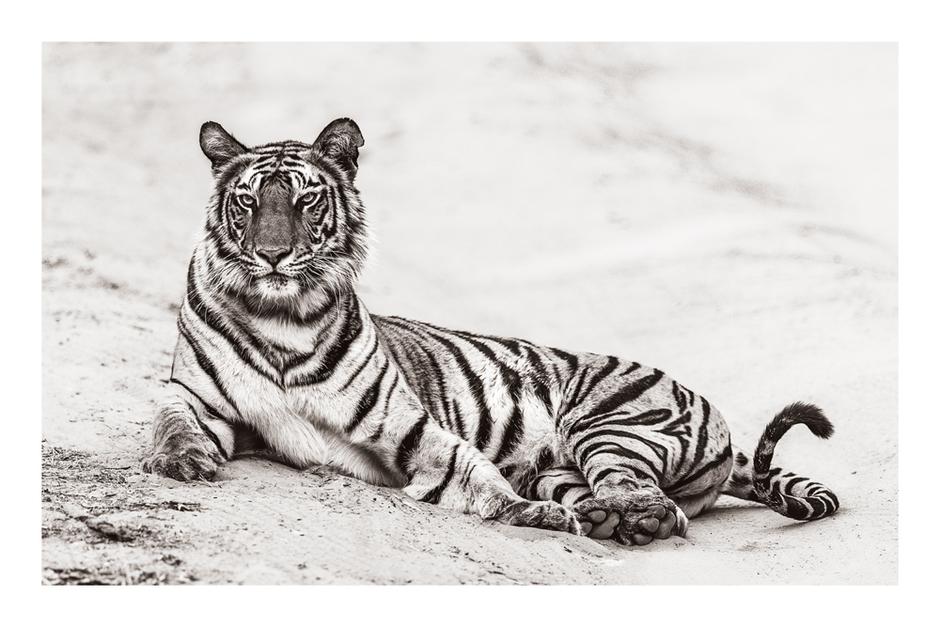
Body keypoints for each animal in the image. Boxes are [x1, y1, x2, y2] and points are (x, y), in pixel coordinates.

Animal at [142, 118, 840, 545]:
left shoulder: (407, 423)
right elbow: (168, 417)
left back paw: (625, 520)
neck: (280, 315)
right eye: (248, 202)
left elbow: (466, 471)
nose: (272, 256)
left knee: (649, 497)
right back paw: (598, 517)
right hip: (564, 462)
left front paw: (526, 515)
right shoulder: (199, 397)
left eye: (305, 200)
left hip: (611, 425)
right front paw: (178, 460)